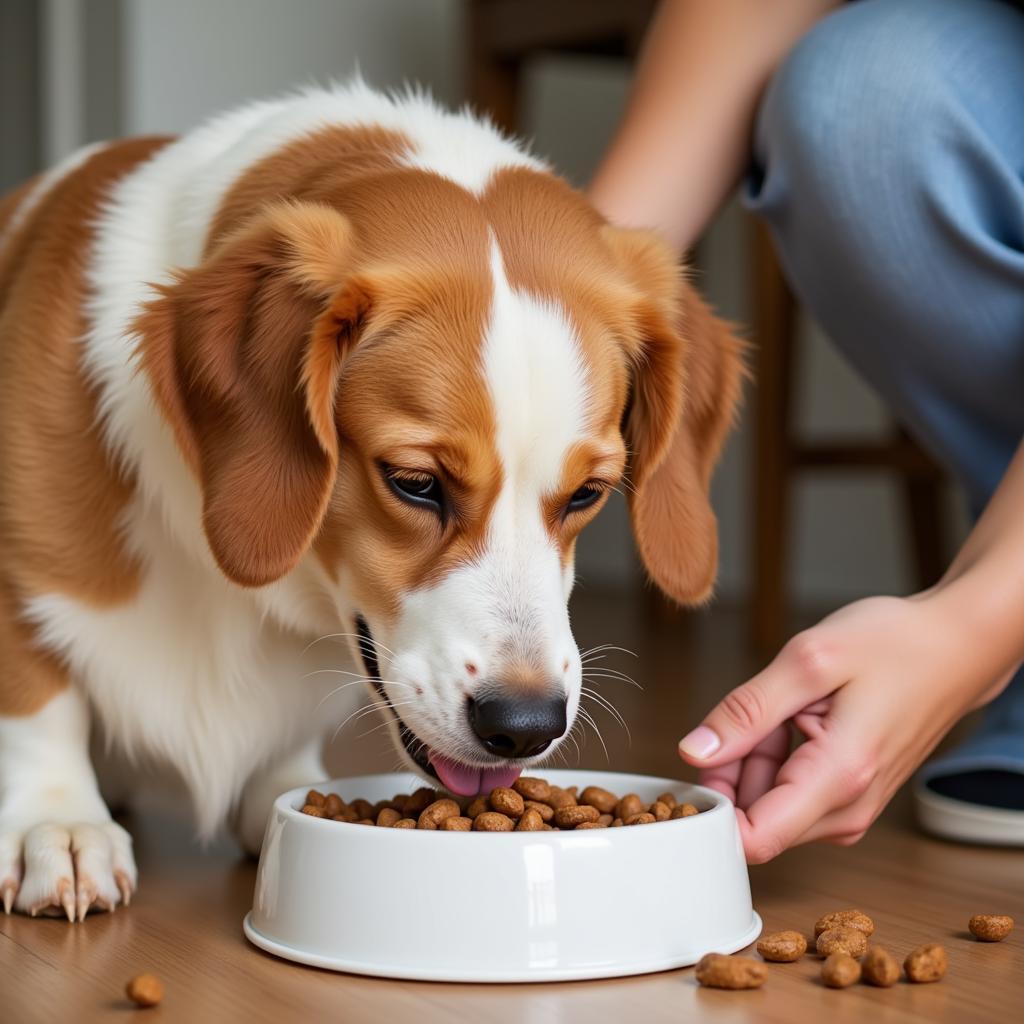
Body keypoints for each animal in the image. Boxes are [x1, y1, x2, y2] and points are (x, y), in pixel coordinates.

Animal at [0, 81, 741, 921]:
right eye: (415, 482)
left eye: (589, 492)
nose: (524, 728)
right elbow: (40, 701)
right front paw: (57, 821)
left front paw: (287, 791)